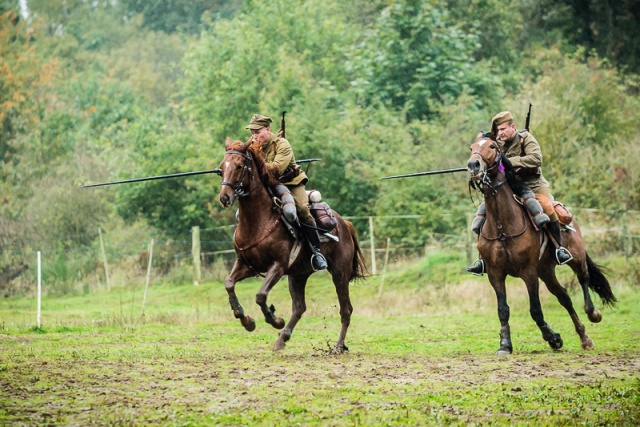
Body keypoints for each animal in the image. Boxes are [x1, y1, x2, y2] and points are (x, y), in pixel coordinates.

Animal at [218, 138, 368, 354]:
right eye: (221, 168)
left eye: (239, 166)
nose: (225, 197)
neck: (259, 221)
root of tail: (343, 223)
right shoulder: (246, 264)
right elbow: (229, 284)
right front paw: (246, 320)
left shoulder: (278, 266)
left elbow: (260, 295)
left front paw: (275, 320)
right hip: (298, 275)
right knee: (299, 307)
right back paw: (282, 339)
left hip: (340, 274)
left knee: (345, 310)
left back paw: (338, 346)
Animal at [464, 132, 616, 356]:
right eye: (472, 147)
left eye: (492, 146)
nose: (473, 165)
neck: (502, 226)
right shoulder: (495, 273)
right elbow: (503, 310)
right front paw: (505, 345)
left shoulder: (529, 272)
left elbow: (535, 309)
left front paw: (552, 337)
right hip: (546, 271)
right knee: (564, 297)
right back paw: (584, 337)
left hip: (576, 258)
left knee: (584, 278)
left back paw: (593, 314)